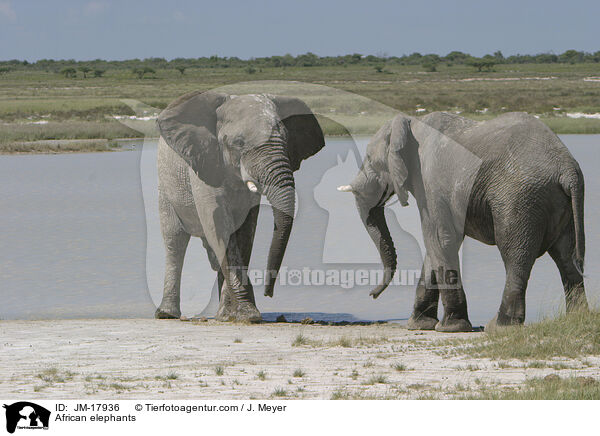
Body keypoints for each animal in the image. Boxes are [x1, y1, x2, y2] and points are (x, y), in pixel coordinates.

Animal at [155, 90, 324, 322]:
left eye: (287, 140)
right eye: (239, 143)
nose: (268, 293)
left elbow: (245, 231)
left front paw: (232, 315)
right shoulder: (205, 163)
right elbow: (220, 226)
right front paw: (248, 314)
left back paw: (220, 314)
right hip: (166, 187)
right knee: (175, 242)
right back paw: (166, 314)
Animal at [340, 111, 588, 330]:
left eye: (370, 159)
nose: (371, 294)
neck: (412, 122)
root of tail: (567, 168)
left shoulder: (430, 182)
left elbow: (439, 238)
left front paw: (451, 327)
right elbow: (435, 246)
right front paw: (420, 325)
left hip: (519, 197)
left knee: (515, 256)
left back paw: (499, 327)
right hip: (559, 204)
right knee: (567, 257)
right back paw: (575, 319)